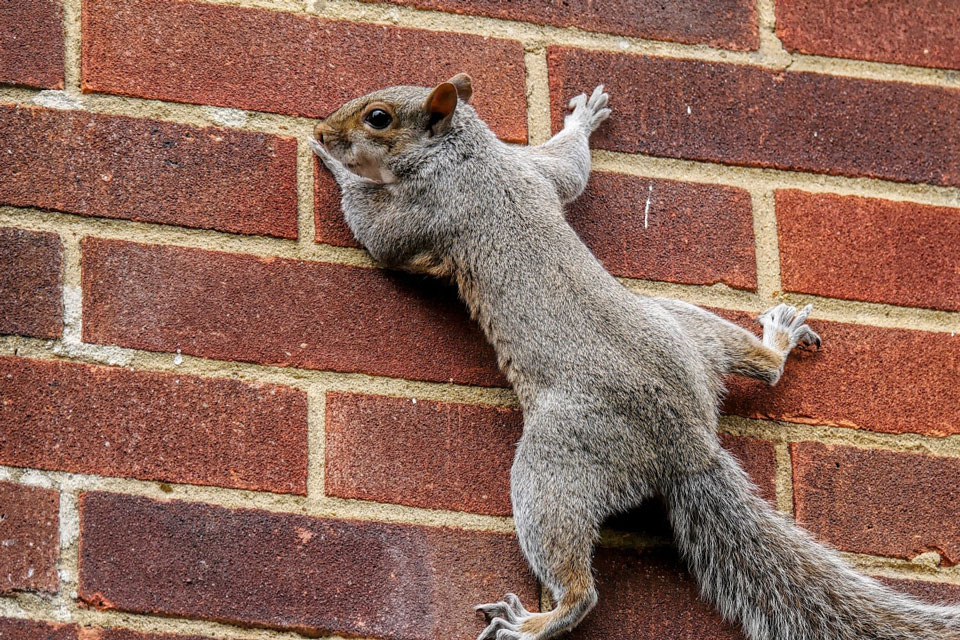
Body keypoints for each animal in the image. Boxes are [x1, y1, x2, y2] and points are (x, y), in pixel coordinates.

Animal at [308, 75, 960, 640]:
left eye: (377, 118)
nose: (324, 127)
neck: (469, 156)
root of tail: (688, 445)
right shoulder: (533, 168)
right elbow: (569, 168)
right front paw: (582, 119)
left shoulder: (428, 207)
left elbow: (378, 236)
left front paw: (332, 161)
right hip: (682, 328)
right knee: (763, 367)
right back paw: (777, 340)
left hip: (558, 460)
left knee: (580, 585)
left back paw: (537, 622)